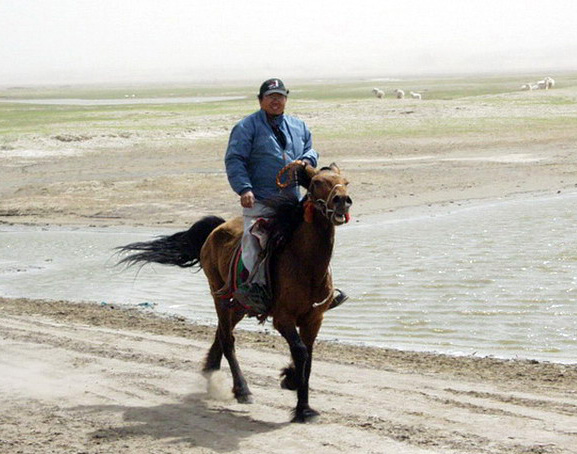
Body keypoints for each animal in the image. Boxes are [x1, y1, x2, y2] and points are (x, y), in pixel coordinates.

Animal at [117, 162, 352, 422]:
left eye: (345, 181)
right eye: (317, 183)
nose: (342, 200)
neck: (305, 264)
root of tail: (217, 228)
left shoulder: (314, 319)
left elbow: (307, 359)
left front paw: (302, 403)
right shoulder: (283, 319)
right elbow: (300, 352)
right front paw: (294, 390)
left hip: (237, 306)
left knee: (221, 334)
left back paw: (210, 369)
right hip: (218, 295)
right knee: (228, 340)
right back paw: (242, 390)